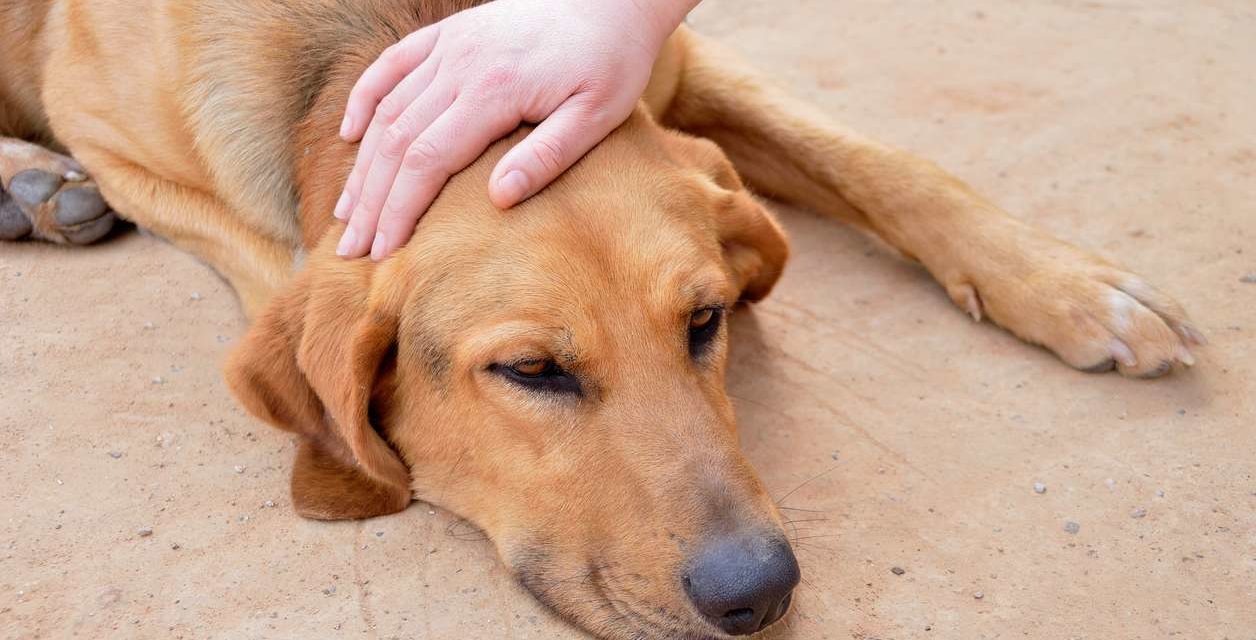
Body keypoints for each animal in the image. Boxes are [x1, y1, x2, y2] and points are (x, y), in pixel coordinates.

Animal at [0, 2, 1200, 637]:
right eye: (532, 370)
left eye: (706, 319)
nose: (758, 594)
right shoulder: (118, 140)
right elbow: (283, 265)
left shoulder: (650, 61)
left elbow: (878, 162)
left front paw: (1071, 285)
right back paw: (32, 185)